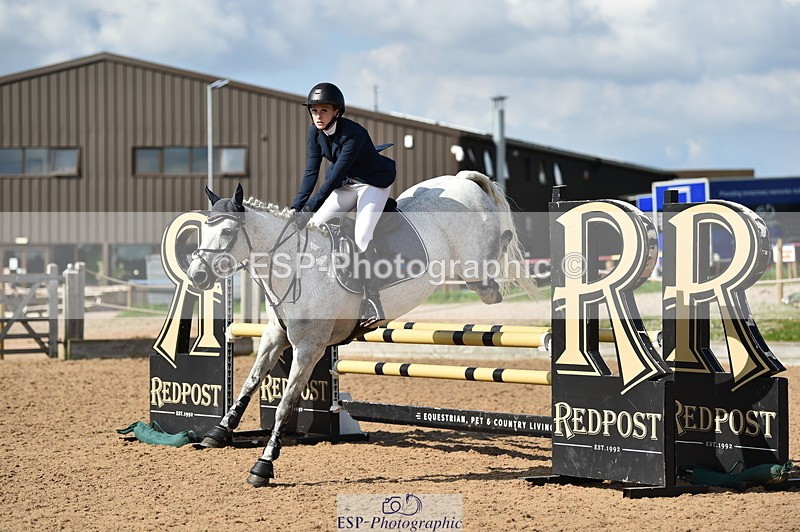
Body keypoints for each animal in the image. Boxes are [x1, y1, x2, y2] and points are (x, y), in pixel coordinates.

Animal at [186, 170, 537, 486]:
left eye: (228, 233)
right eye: (202, 232)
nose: (196, 277)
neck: (296, 266)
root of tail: (462, 179)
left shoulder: (309, 348)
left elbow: (284, 405)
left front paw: (263, 465)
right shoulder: (276, 337)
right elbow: (250, 382)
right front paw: (219, 432)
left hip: (474, 267)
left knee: (491, 273)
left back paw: (505, 253)